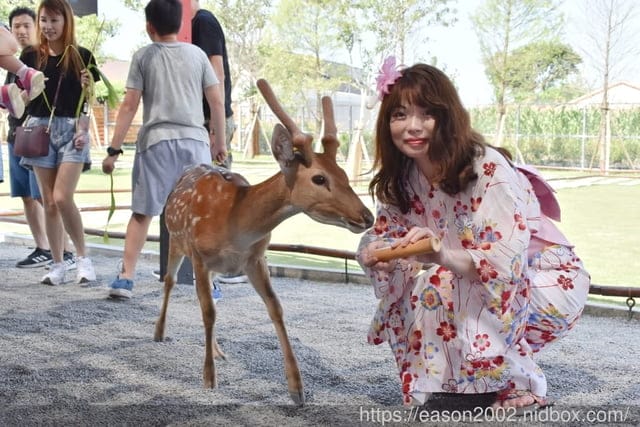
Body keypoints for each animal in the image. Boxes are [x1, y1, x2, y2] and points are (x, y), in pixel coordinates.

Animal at [153, 79, 374, 405]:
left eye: (345, 174)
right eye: (319, 179)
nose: (367, 216)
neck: (235, 222)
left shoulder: (256, 258)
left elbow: (275, 308)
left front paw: (297, 389)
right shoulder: (200, 256)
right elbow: (208, 311)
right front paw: (208, 378)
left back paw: (218, 350)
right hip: (177, 242)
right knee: (170, 282)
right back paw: (159, 332)